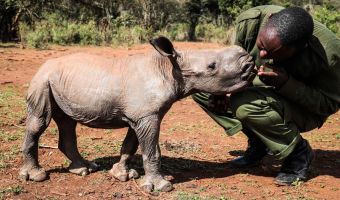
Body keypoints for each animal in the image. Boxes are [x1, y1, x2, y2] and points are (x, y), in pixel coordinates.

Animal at [19, 35, 255, 192]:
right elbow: (151, 151)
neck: (168, 69)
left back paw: (85, 169)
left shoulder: (142, 115)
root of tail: (43, 65)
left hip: (58, 81)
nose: (249, 62)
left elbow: (130, 146)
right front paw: (161, 186)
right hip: (42, 80)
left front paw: (121, 174)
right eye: (211, 66)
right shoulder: (147, 116)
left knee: (67, 122)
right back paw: (37, 176)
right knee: (39, 123)